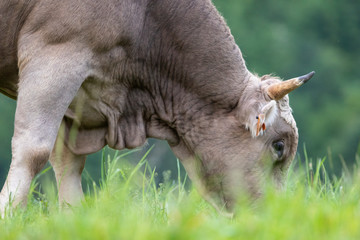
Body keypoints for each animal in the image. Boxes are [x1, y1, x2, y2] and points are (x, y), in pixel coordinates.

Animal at [0, 0, 314, 214]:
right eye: (279, 146)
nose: (275, 215)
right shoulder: (56, 53)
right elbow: (33, 150)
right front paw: (9, 215)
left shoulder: (79, 98)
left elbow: (68, 164)